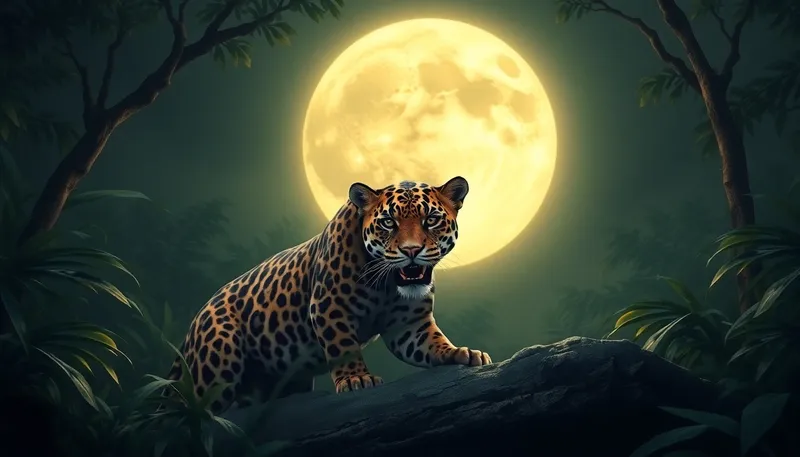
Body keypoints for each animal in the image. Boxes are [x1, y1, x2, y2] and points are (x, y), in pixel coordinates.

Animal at [164, 176, 492, 413]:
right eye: (389, 222)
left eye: (431, 220)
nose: (411, 251)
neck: (386, 285)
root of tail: (192, 326)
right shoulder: (328, 306)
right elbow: (343, 346)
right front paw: (356, 378)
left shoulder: (408, 325)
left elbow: (432, 342)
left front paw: (461, 353)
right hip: (216, 364)